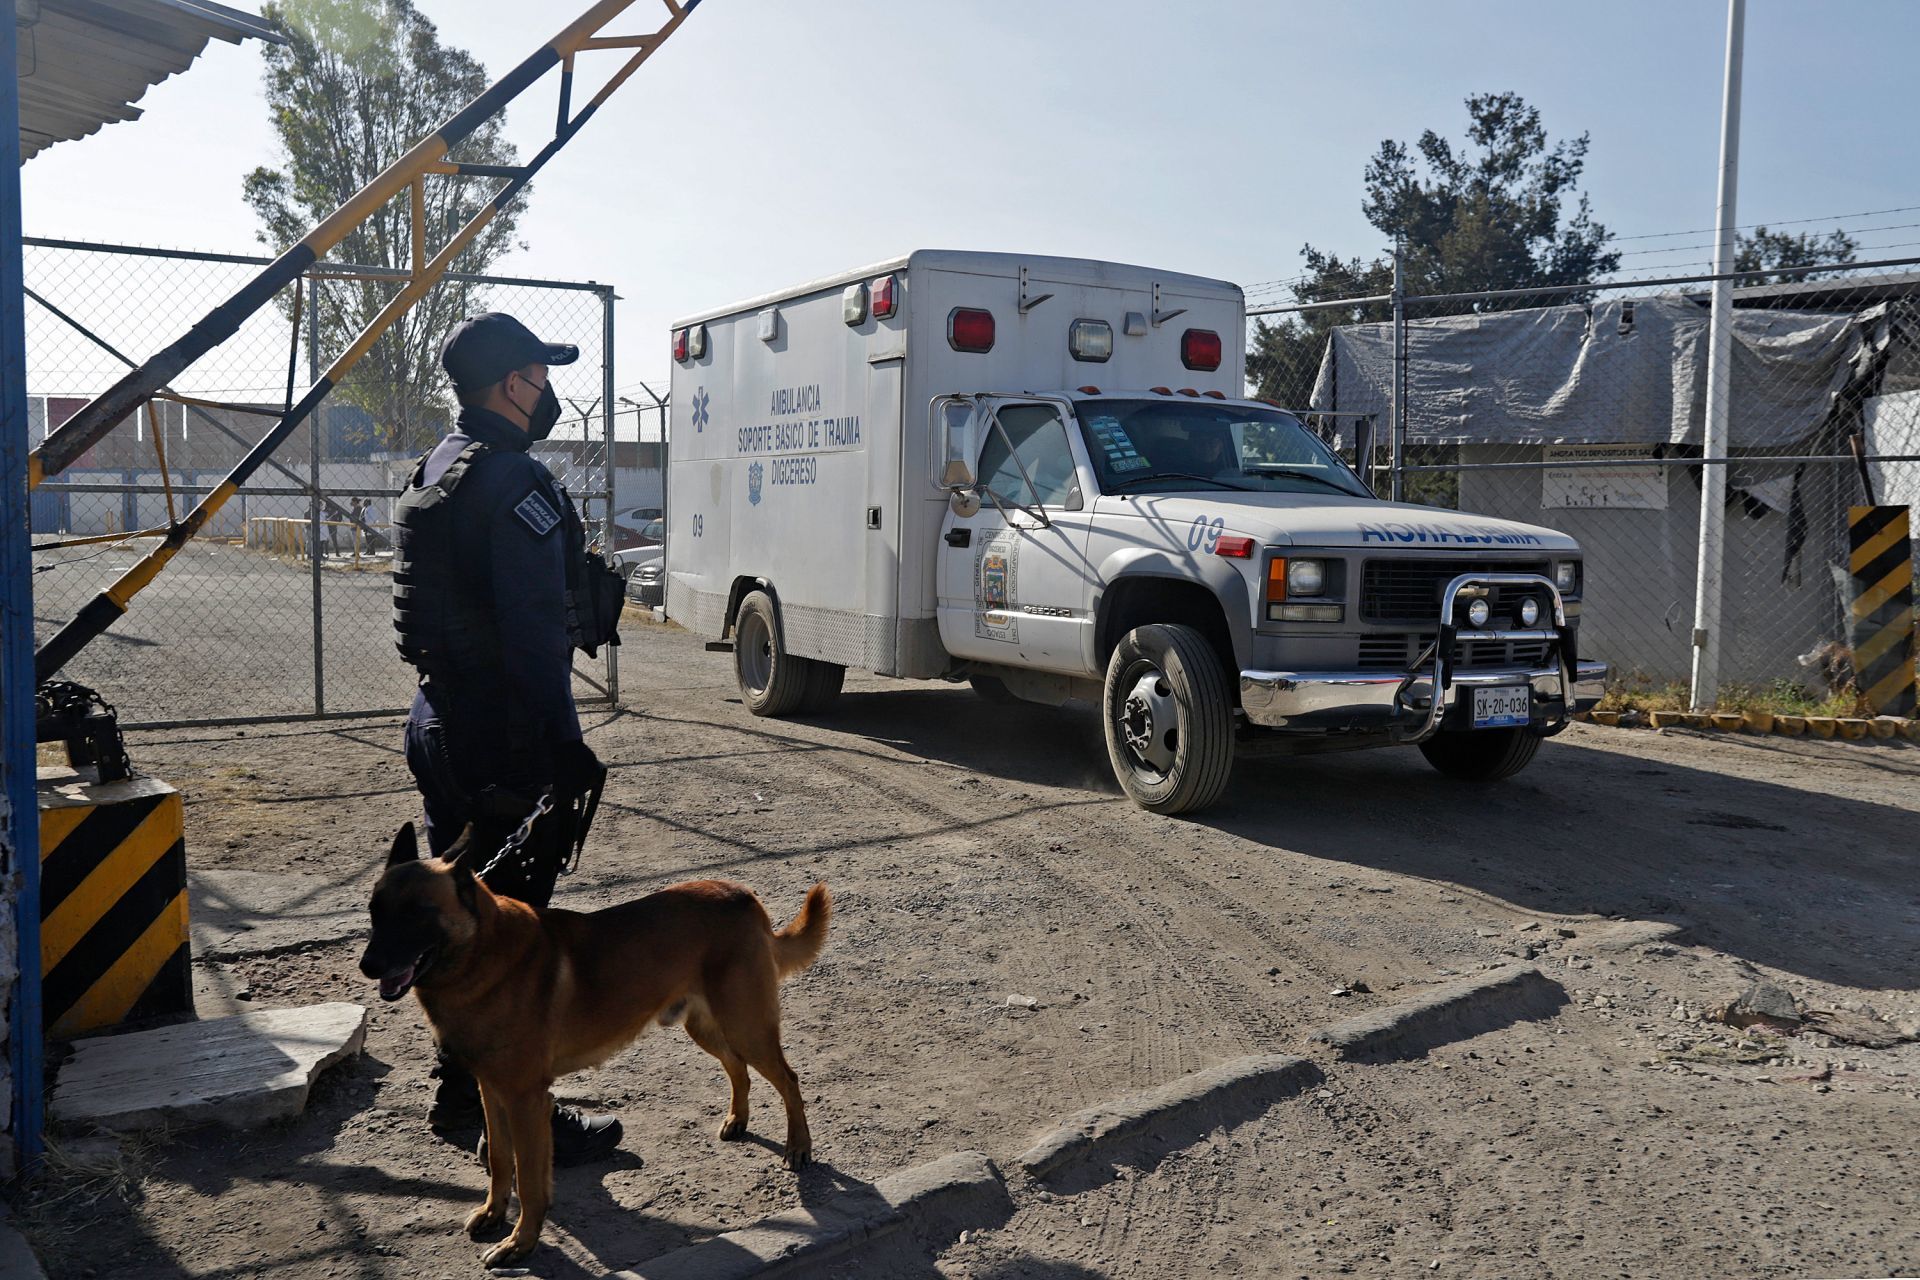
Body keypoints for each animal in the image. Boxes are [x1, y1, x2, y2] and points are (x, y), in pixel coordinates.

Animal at [360, 825, 825, 1266]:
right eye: (374, 910)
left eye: (418, 914)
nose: (368, 966)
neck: (481, 954)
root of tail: (742, 893)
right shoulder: (492, 1091)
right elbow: (500, 1161)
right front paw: (494, 1215)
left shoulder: (525, 1099)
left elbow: (529, 1180)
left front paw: (520, 1244)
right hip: (709, 1029)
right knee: (736, 1067)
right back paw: (738, 1119)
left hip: (747, 1027)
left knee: (788, 1079)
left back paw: (798, 1146)